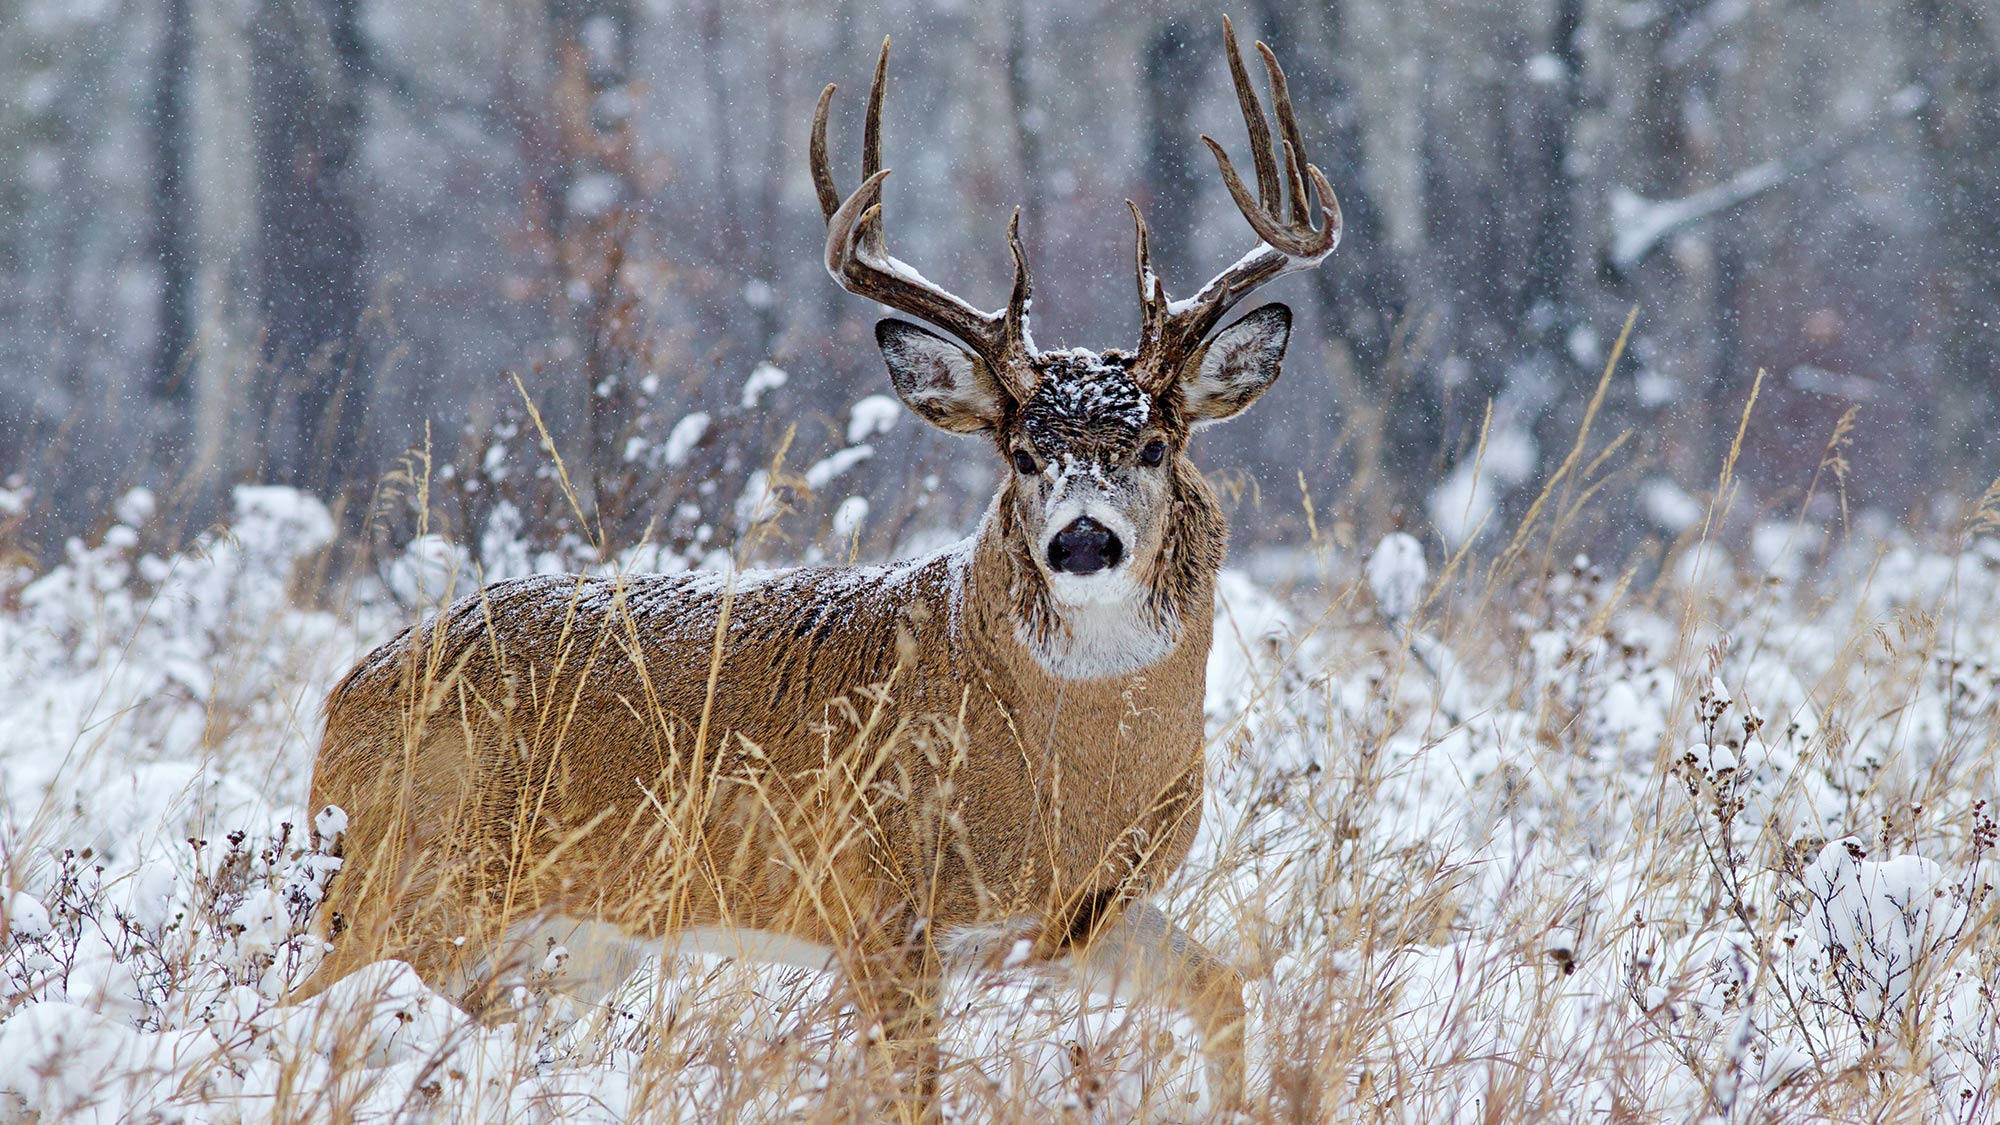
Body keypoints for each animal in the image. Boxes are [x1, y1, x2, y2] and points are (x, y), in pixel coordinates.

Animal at [286, 15, 1344, 1112]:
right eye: (1019, 452)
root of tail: (350, 689)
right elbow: (913, 1093)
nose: (1082, 541)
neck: (1057, 772)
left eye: (1156, 445)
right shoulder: (875, 903)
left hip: (546, 941)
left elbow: (1222, 992)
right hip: (401, 883)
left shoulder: (1078, 918)